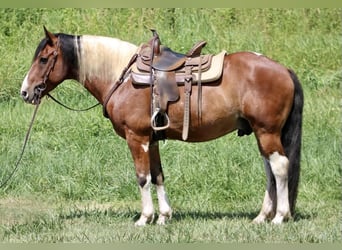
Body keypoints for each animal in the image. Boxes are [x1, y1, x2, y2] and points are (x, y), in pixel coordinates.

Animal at [20, 27, 304, 227]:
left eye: (44, 59)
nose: (25, 92)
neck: (122, 78)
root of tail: (284, 69)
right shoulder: (152, 139)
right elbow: (158, 175)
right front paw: (164, 216)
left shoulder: (137, 138)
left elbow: (142, 177)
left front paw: (145, 218)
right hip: (261, 133)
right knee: (269, 170)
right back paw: (262, 216)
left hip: (267, 131)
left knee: (279, 167)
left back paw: (279, 216)